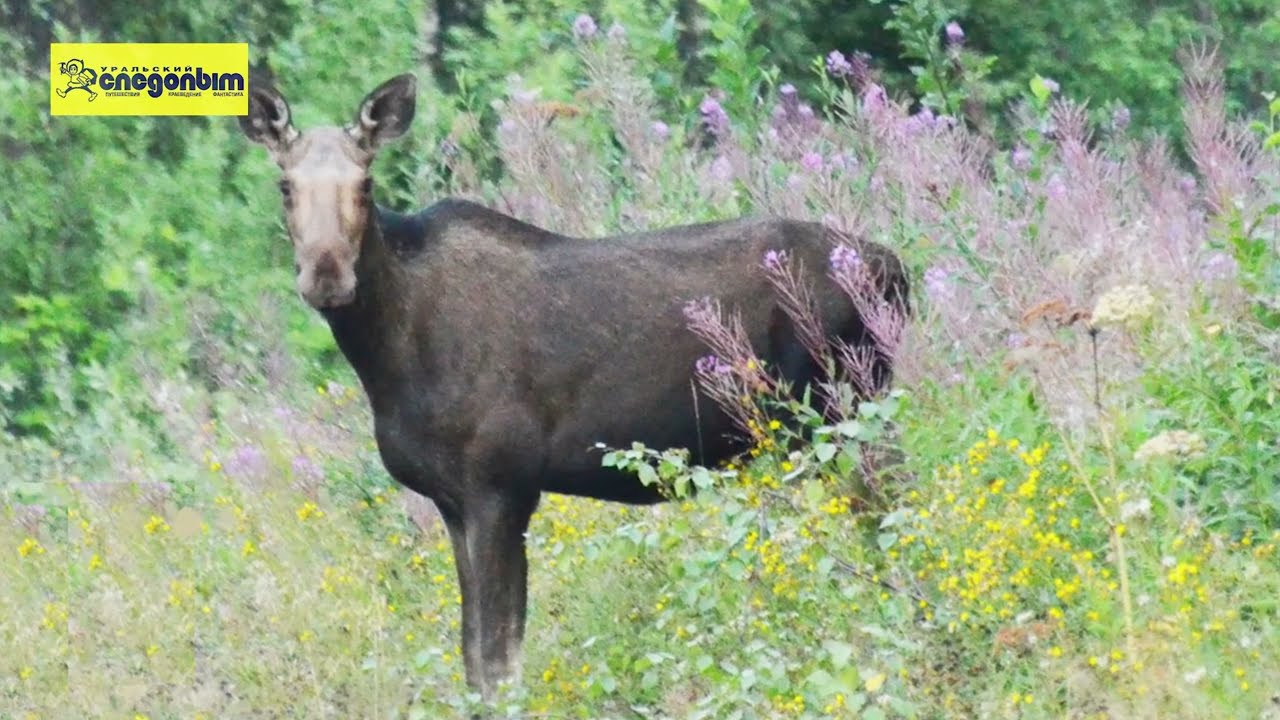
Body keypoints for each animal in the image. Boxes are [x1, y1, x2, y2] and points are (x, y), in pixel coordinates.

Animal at [235, 73, 906, 702]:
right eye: (285, 186)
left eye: (366, 185)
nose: (326, 276)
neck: (387, 359)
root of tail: (894, 266)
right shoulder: (452, 501)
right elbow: (473, 656)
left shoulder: (502, 484)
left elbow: (499, 659)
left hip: (849, 410)